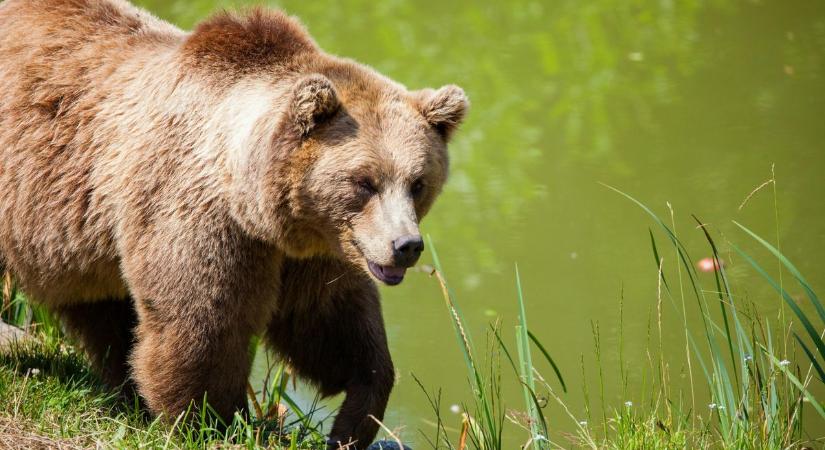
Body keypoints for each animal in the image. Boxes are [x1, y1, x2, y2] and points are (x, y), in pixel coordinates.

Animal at [0, 1, 466, 448]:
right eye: (364, 182)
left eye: (418, 183)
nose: (406, 245)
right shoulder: (200, 215)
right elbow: (203, 323)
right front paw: (217, 420)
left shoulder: (314, 248)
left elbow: (330, 323)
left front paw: (354, 418)